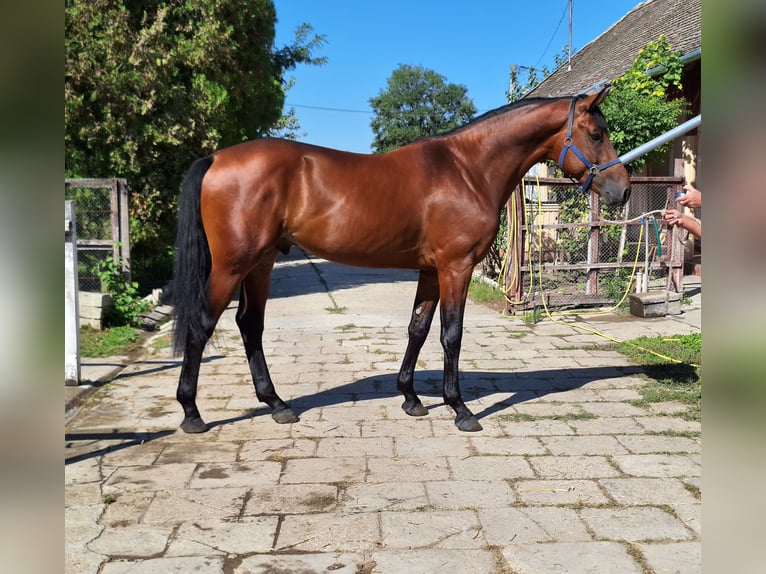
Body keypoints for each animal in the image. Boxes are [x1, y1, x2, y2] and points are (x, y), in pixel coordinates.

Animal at [171, 86, 628, 436]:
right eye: (595, 134)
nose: (621, 190)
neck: (467, 169)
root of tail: (217, 158)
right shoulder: (456, 267)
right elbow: (451, 334)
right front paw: (460, 409)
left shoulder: (431, 270)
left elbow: (418, 329)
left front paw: (410, 397)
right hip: (232, 266)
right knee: (202, 324)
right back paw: (192, 414)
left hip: (261, 263)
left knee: (250, 325)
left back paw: (277, 404)